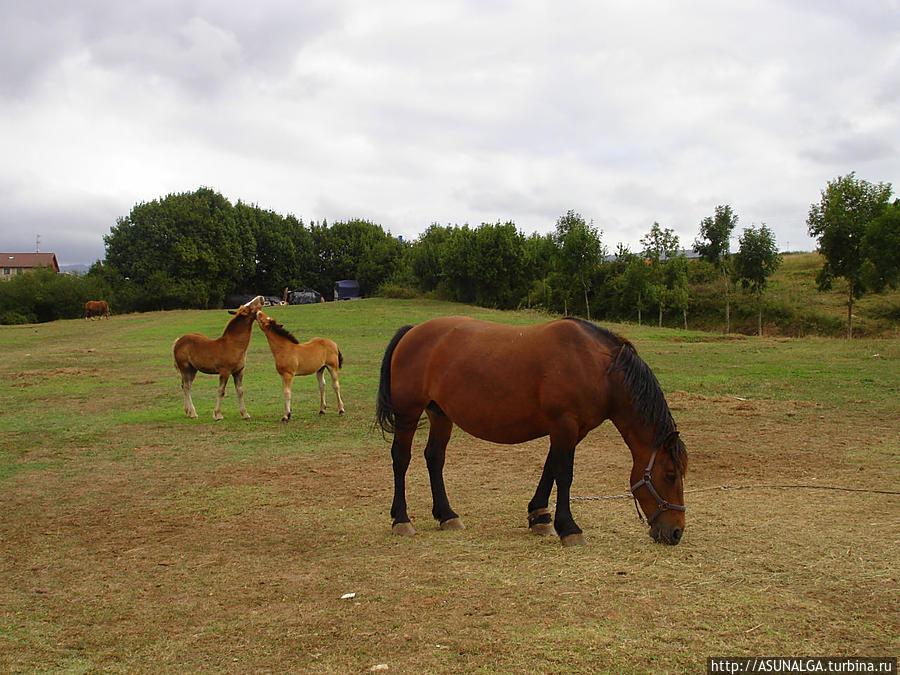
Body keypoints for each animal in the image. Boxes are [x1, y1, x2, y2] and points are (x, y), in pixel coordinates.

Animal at [374, 318, 688, 548]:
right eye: (670, 475)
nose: (676, 532)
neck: (596, 368)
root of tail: (413, 331)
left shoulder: (572, 431)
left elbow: (550, 468)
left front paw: (539, 516)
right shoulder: (564, 426)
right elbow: (564, 474)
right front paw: (569, 528)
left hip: (440, 414)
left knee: (434, 458)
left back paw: (447, 515)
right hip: (408, 413)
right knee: (401, 459)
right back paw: (401, 519)